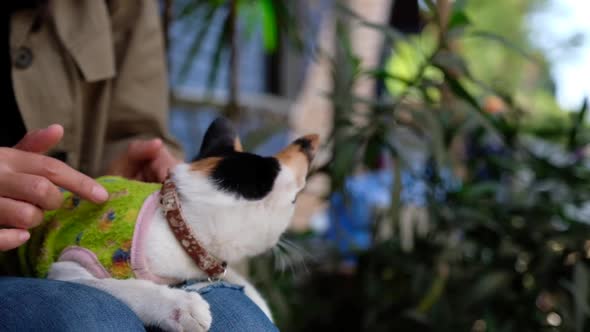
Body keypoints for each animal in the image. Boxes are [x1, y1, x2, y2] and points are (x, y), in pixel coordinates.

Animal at [28, 118, 320, 330]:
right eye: (295, 200)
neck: (178, 223)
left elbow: (235, 278)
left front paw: (260, 303)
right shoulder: (69, 266)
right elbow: (123, 286)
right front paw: (180, 307)